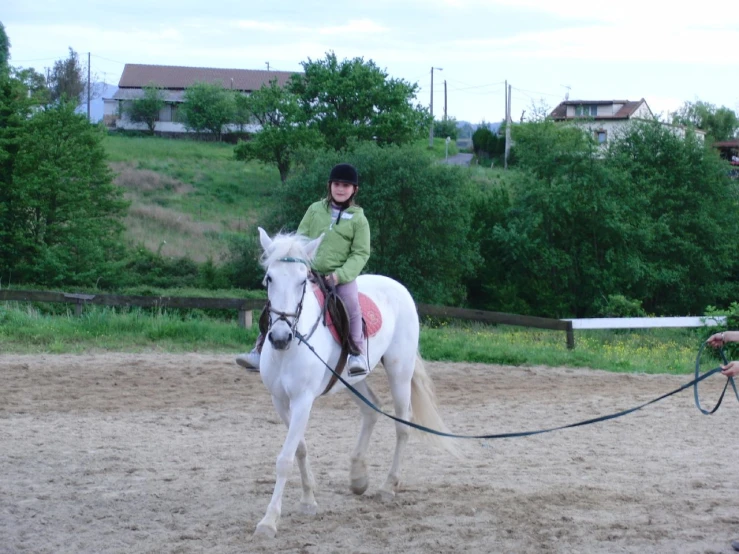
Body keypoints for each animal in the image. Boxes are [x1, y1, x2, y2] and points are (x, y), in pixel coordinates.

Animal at [258, 225, 460, 536]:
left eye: (303, 281)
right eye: (269, 278)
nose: (280, 337)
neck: (291, 347)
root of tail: (397, 286)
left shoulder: (303, 401)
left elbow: (285, 459)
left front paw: (269, 521)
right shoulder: (280, 400)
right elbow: (300, 449)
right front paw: (308, 501)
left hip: (399, 373)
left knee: (403, 425)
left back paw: (388, 487)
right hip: (352, 381)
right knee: (371, 409)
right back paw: (358, 478)